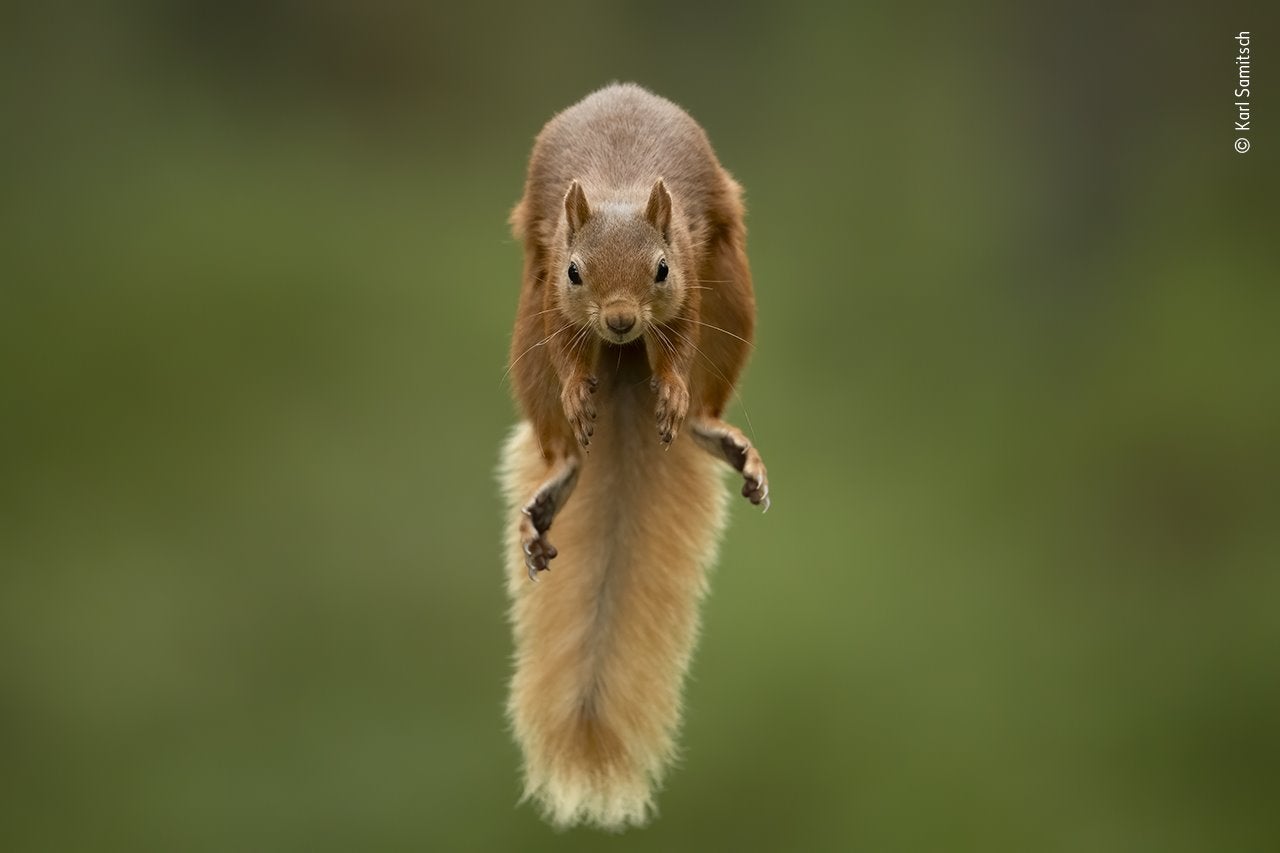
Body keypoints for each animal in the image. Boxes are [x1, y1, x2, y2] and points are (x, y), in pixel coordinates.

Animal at [494, 83, 762, 824]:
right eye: (576, 271)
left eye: (661, 269)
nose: (618, 320)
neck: (621, 186)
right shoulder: (553, 291)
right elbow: (564, 347)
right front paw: (577, 388)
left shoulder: (693, 272)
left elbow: (679, 342)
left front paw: (669, 390)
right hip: (525, 334)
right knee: (559, 428)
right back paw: (558, 476)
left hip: (731, 297)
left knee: (702, 397)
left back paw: (710, 429)